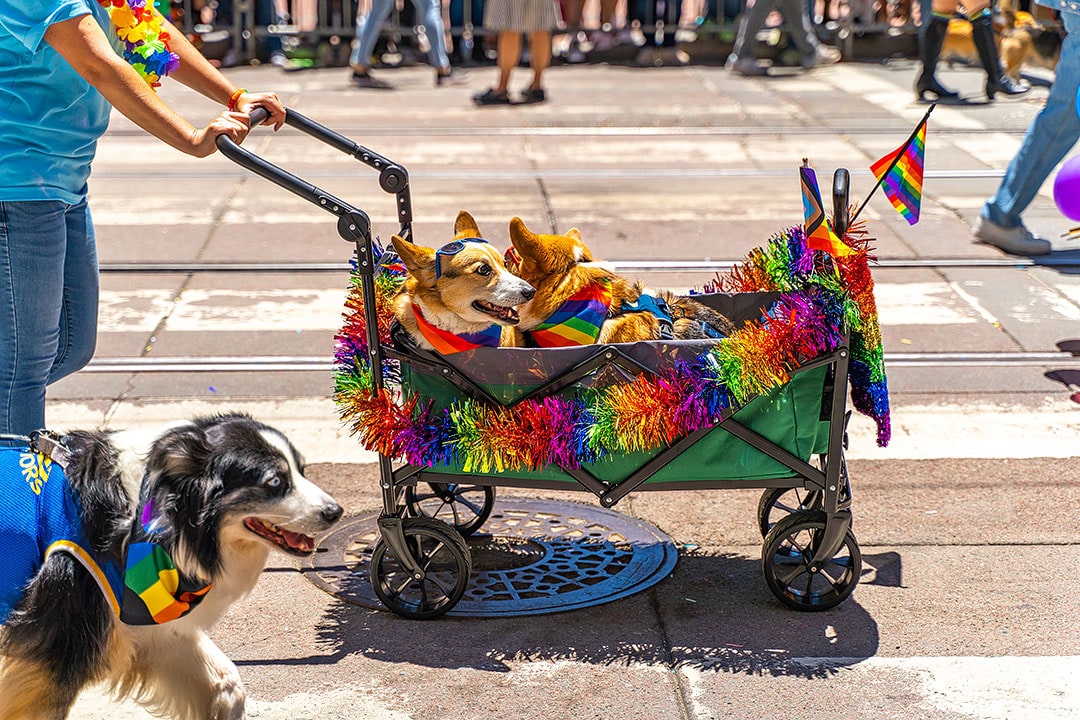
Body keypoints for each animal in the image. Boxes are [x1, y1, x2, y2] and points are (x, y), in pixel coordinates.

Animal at [0, 414, 341, 720]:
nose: (335, 512)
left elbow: (227, 684)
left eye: (302, 471)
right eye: (275, 482)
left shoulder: (145, 621)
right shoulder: (58, 639)